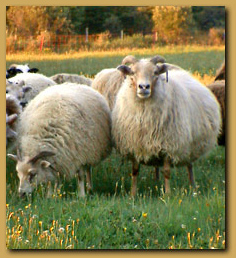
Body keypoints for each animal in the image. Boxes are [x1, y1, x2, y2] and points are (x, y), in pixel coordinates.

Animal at [112, 55, 221, 196]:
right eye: (133, 72)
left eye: (155, 73)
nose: (144, 87)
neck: (144, 112)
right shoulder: (135, 144)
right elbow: (135, 171)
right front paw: (132, 194)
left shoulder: (169, 144)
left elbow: (167, 172)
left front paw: (168, 195)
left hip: (189, 145)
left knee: (189, 165)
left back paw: (193, 187)